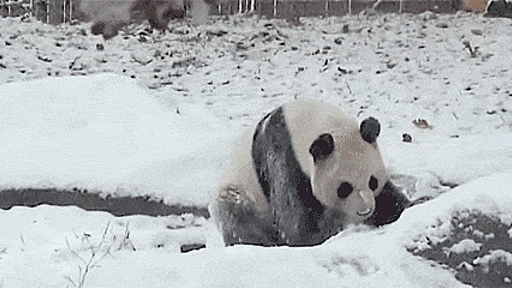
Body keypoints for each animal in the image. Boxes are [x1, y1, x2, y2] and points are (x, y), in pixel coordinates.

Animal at [210, 100, 410, 246]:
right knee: (237, 215)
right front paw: (323, 232)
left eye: (373, 182)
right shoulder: (283, 156)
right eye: (344, 188)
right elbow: (294, 222)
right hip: (241, 193)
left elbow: (388, 197)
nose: (365, 210)